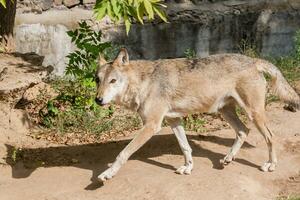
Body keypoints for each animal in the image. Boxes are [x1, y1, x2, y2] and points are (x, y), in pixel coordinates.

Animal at [94, 48, 300, 181]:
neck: (143, 82)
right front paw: (188, 167)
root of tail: (253, 60)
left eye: (113, 81)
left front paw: (107, 174)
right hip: (226, 112)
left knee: (270, 137)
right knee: (243, 131)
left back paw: (271, 164)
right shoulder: (174, 120)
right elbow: (186, 147)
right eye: (97, 80)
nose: (98, 100)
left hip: (253, 114)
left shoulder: (152, 126)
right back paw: (227, 159)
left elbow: (123, 153)